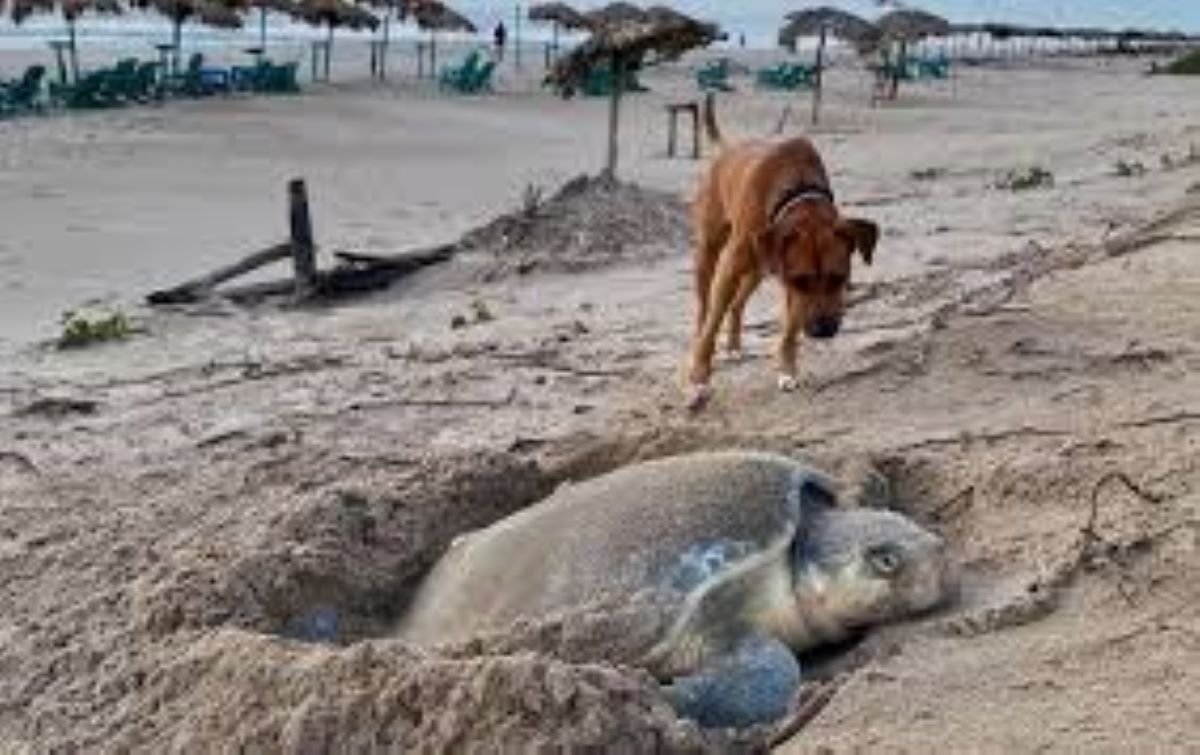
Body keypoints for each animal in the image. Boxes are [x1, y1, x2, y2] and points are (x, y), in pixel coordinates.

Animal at [686, 97, 883, 412]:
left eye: (839, 278)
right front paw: (699, 378)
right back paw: (701, 339)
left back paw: (734, 345)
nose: (824, 330)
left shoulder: (784, 275)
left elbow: (790, 327)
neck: (796, 188)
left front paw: (787, 370)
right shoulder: (738, 268)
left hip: (759, 266)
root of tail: (728, 148)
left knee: (737, 303)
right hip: (709, 250)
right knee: (706, 308)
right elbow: (712, 322)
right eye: (801, 280)